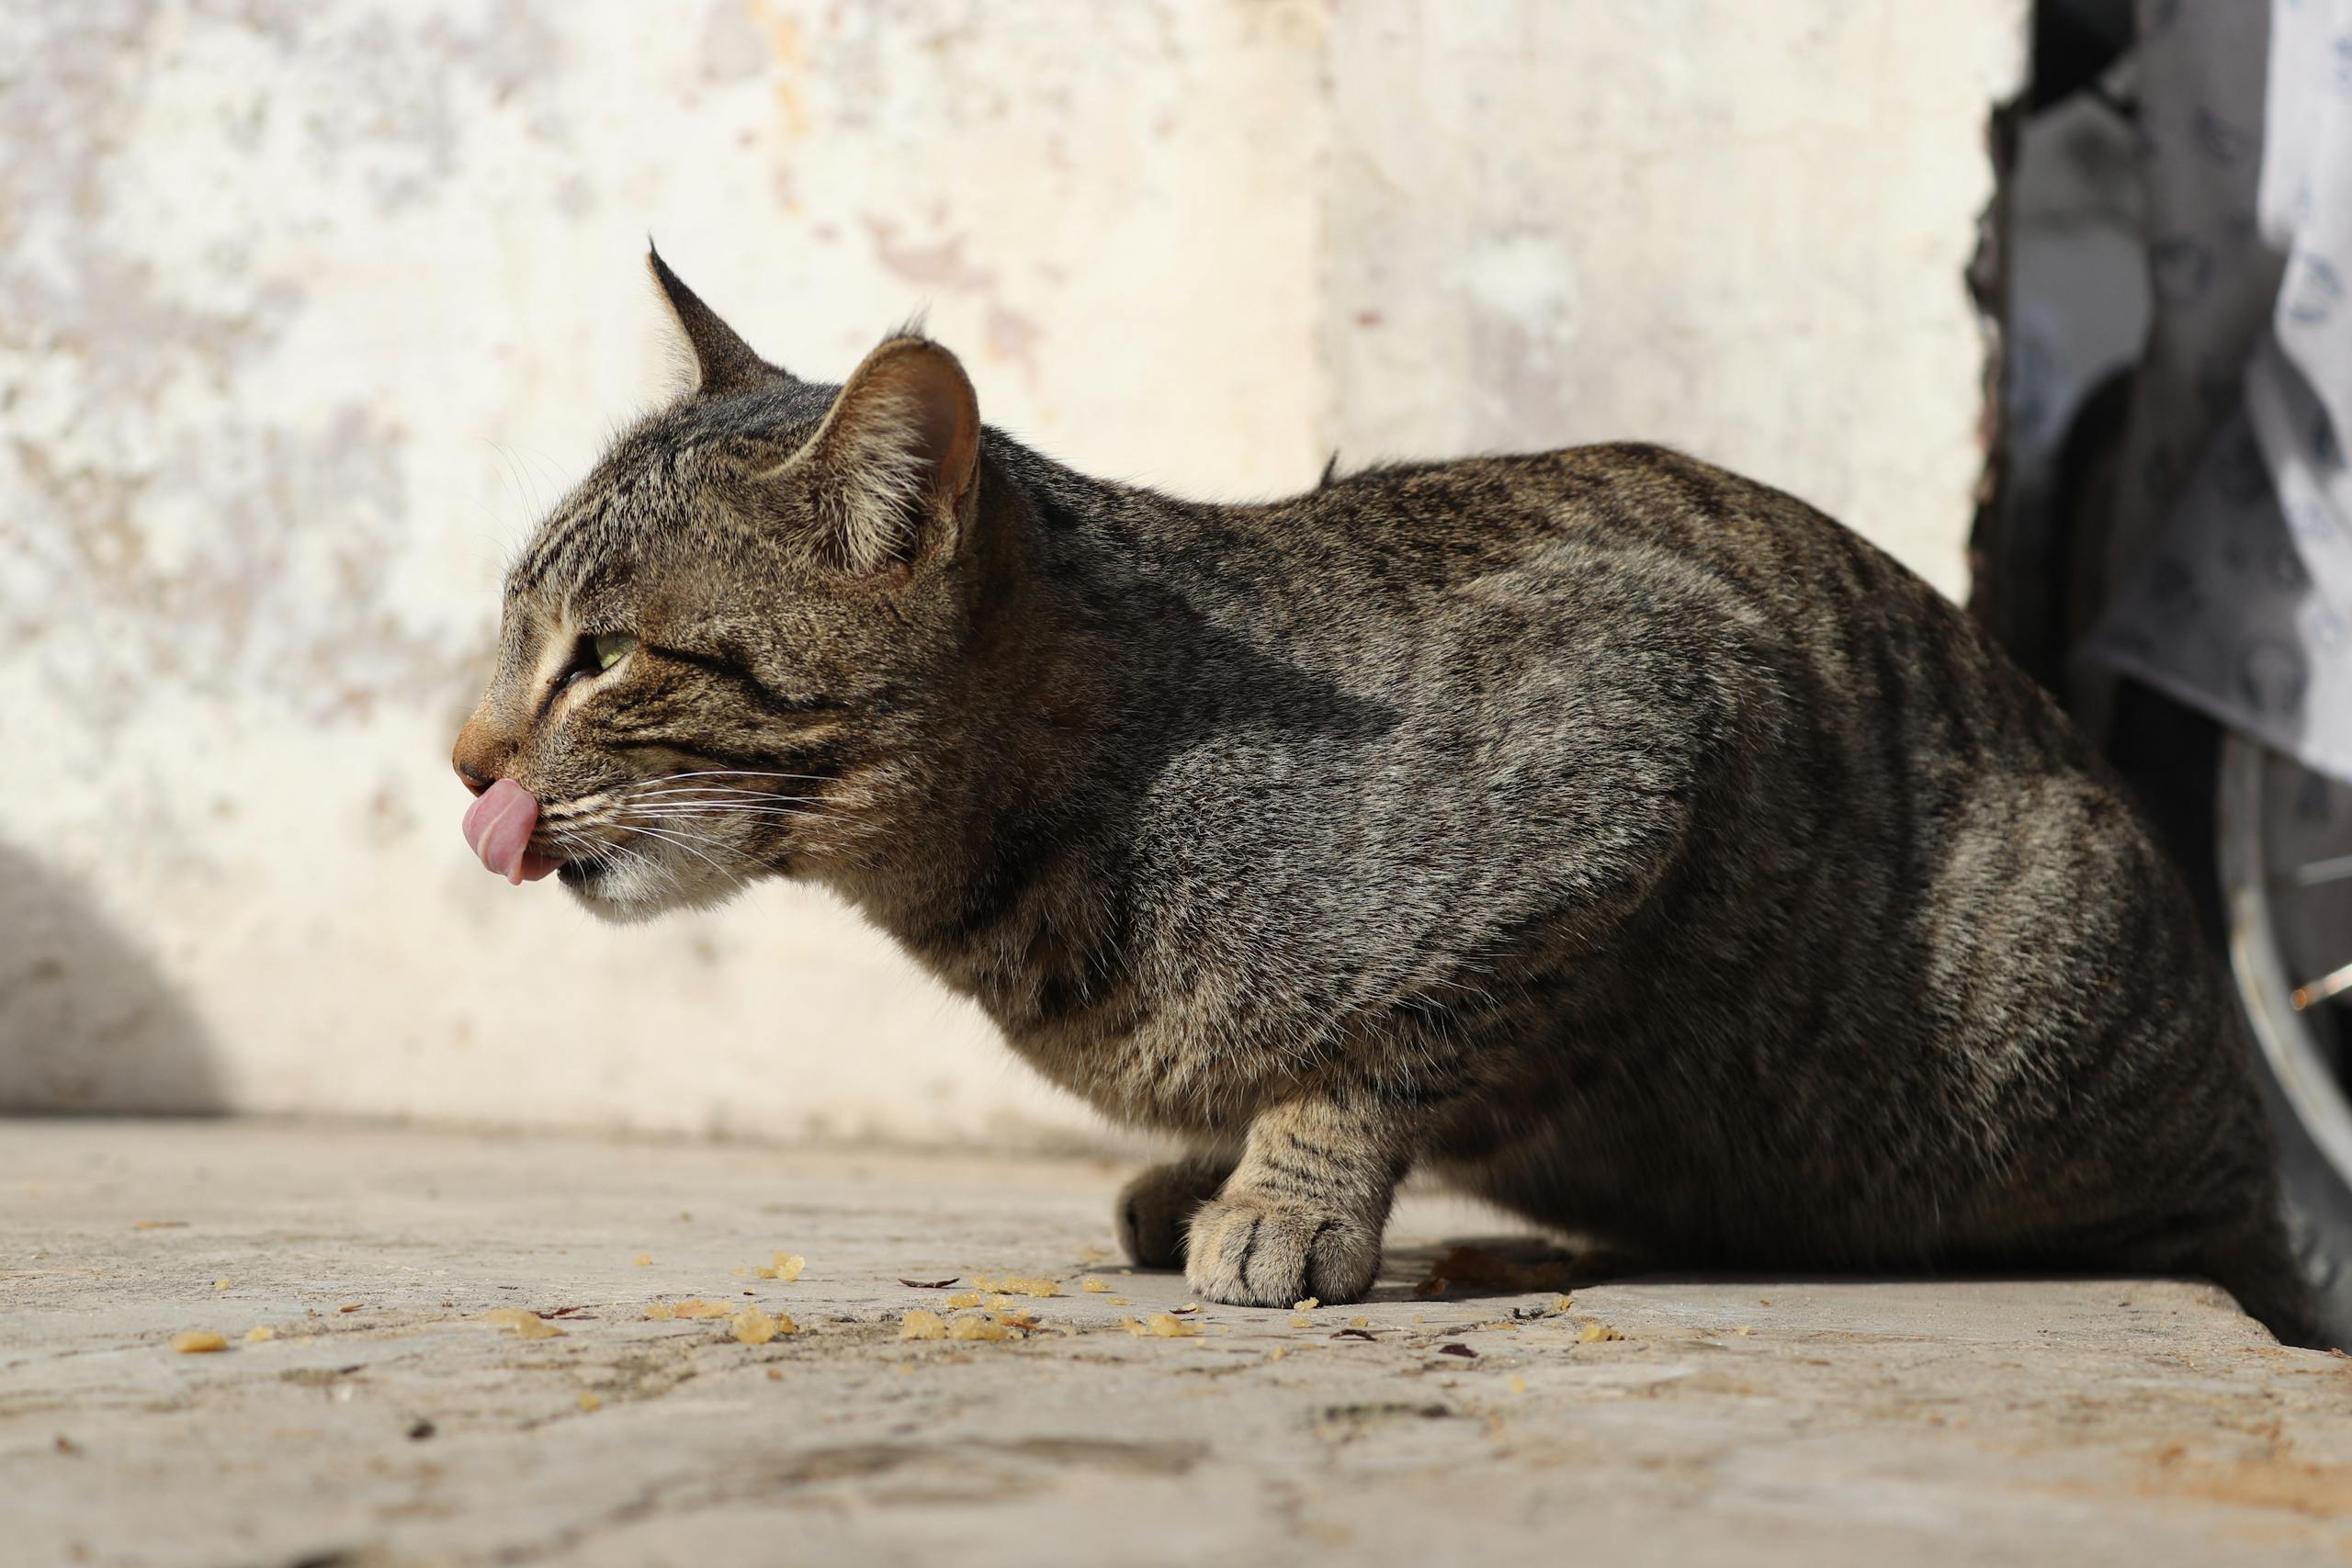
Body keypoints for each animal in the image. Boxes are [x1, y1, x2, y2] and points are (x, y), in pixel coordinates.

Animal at [454, 247, 2314, 1354]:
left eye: (603, 654)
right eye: (516, 621)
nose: (465, 760)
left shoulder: (1644, 714)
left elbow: (1379, 1045)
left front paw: (1283, 1197)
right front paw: (1210, 1165)